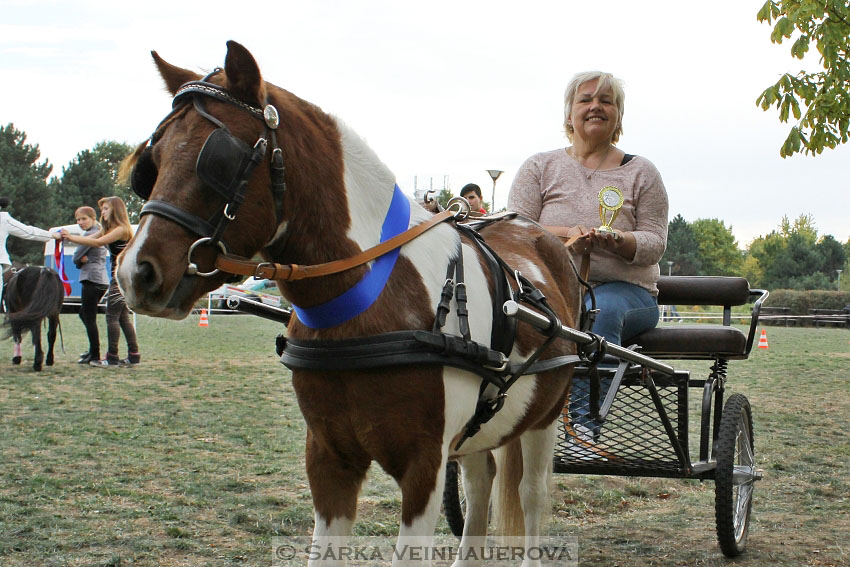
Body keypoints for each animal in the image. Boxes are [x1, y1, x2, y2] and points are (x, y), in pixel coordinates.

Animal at [119, 42, 580, 564]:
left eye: (218, 158)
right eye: (151, 162)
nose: (134, 271)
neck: (370, 307)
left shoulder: (423, 466)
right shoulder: (328, 458)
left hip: (546, 415)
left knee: (532, 494)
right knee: (481, 486)